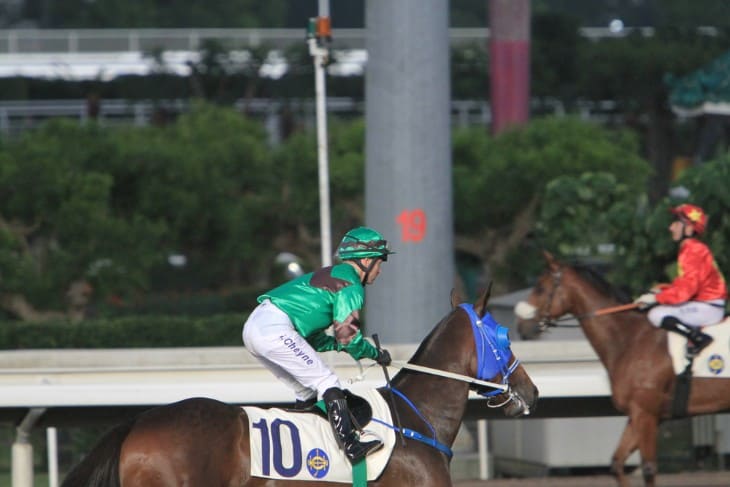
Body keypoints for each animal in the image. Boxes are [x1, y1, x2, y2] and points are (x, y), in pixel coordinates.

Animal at [512, 254, 728, 487]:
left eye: (540, 288)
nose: (521, 326)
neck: (629, 339)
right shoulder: (637, 414)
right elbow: (616, 463)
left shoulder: (646, 413)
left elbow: (649, 468)